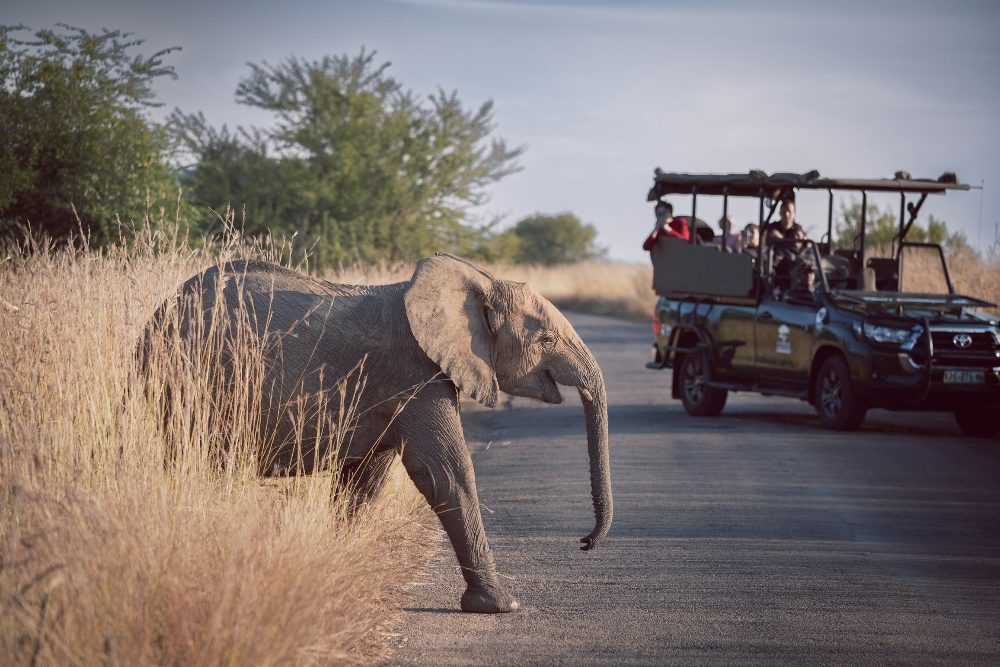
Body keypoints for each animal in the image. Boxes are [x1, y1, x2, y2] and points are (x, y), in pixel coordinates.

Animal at [140, 253, 612, 613]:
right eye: (546, 338)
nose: (584, 543)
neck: (475, 279)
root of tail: (156, 316)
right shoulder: (415, 372)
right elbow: (444, 472)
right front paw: (499, 606)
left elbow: (365, 478)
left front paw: (337, 567)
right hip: (186, 380)